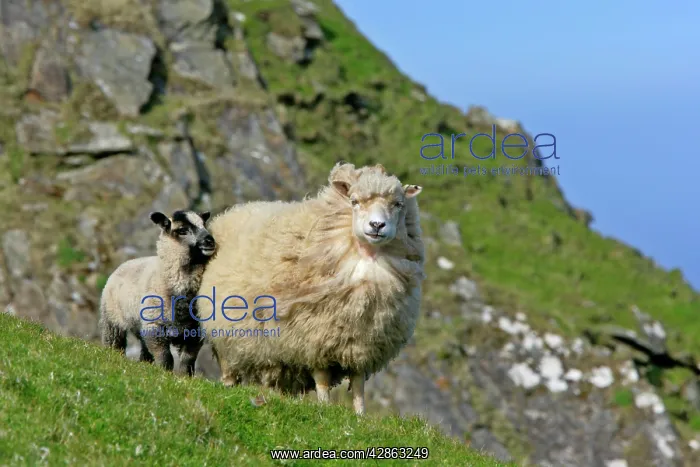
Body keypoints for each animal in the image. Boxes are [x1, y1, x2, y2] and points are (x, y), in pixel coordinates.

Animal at [99, 210, 217, 376]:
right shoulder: (154, 326)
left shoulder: (194, 331)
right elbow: (165, 358)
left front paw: (184, 377)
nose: (210, 241)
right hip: (112, 321)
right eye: (182, 230)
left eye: (204, 224)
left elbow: (187, 361)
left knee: (144, 352)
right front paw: (165, 373)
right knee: (114, 343)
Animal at [197, 162, 425, 414]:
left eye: (398, 204)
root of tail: (236, 210)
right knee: (229, 369)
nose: (377, 225)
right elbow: (323, 380)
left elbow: (358, 386)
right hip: (224, 335)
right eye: (354, 201)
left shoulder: (362, 346)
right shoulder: (314, 338)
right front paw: (325, 409)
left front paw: (360, 416)